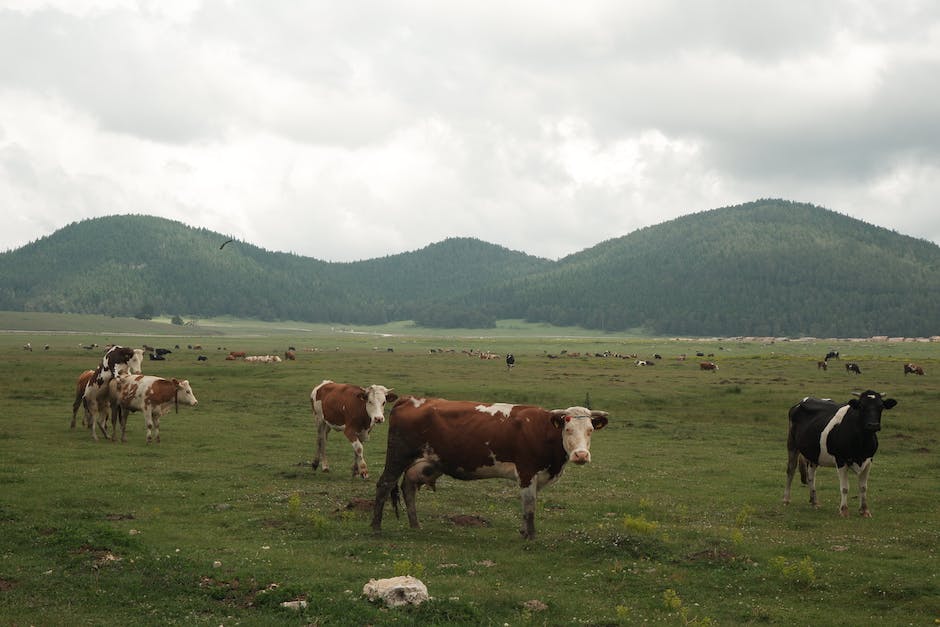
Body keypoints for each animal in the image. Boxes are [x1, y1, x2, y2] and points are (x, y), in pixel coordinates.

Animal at [370, 398, 612, 540]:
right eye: (568, 429)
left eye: (590, 430)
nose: (581, 455)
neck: (541, 430)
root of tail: (409, 400)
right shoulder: (526, 471)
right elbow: (530, 506)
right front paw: (531, 537)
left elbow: (527, 505)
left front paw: (523, 532)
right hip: (398, 456)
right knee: (384, 484)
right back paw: (376, 527)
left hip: (424, 463)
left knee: (408, 487)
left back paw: (415, 525)